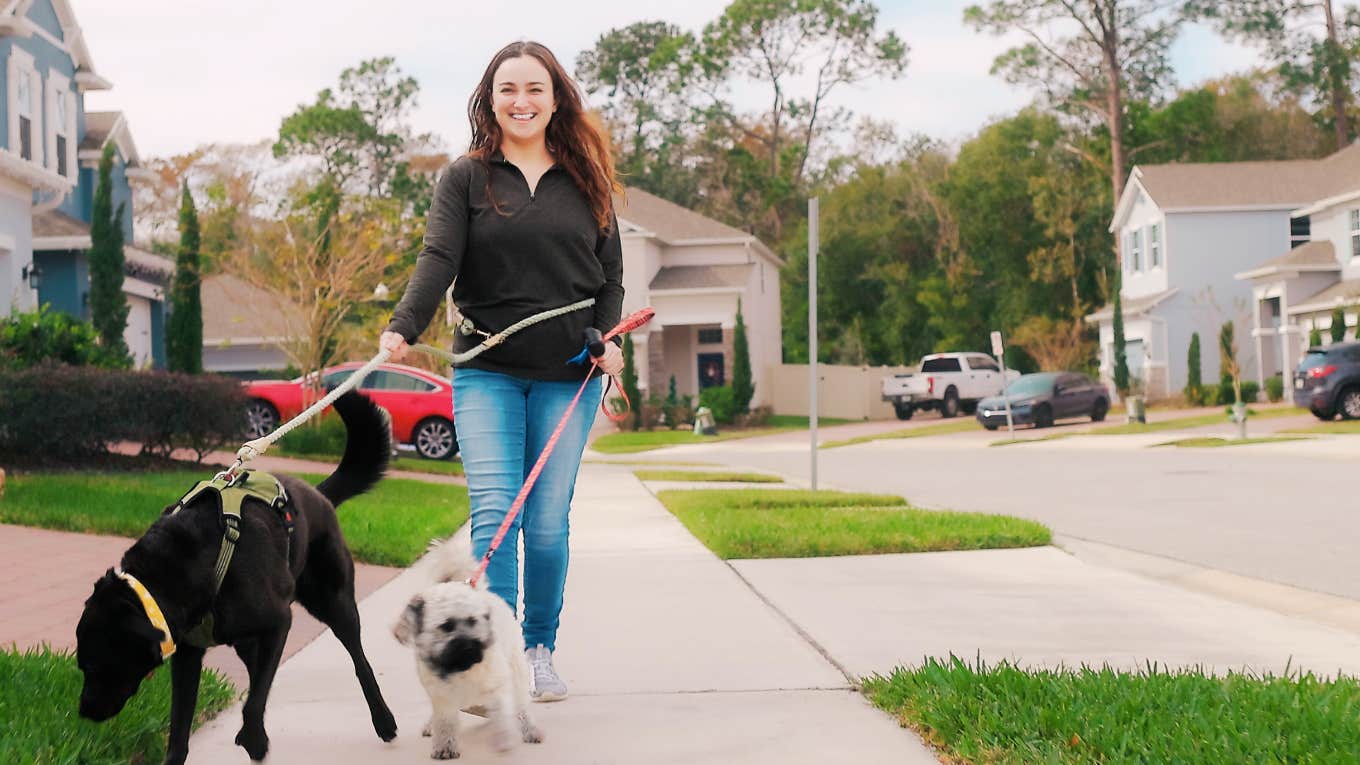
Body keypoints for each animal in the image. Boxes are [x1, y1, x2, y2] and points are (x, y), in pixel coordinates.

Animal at [77, 389, 397, 756]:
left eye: (95, 665)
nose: (83, 711)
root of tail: (319, 494)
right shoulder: (189, 654)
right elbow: (181, 728)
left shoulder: (278, 622)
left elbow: (254, 700)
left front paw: (255, 740)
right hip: (252, 638)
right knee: (259, 671)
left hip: (333, 601)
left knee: (358, 660)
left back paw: (384, 720)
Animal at [394, 530, 541, 756]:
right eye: (446, 626)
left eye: (473, 621)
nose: (469, 646)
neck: (459, 669)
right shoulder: (441, 697)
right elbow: (445, 721)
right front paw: (444, 746)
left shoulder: (498, 686)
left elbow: (502, 713)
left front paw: (504, 737)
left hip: (516, 671)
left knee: (521, 704)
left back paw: (529, 728)